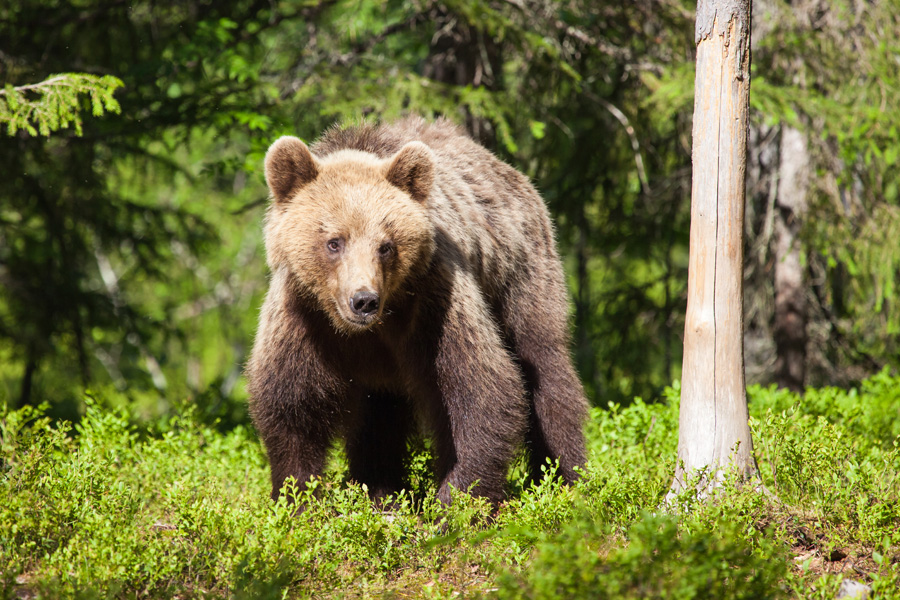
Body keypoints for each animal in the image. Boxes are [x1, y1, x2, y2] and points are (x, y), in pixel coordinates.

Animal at [246, 117, 588, 506]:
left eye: (386, 245)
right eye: (334, 242)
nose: (363, 300)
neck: (369, 328)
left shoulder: (434, 300)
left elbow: (480, 389)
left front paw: (457, 499)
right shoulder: (303, 315)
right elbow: (291, 403)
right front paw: (299, 498)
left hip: (520, 275)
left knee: (545, 368)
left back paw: (564, 478)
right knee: (378, 416)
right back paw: (380, 487)